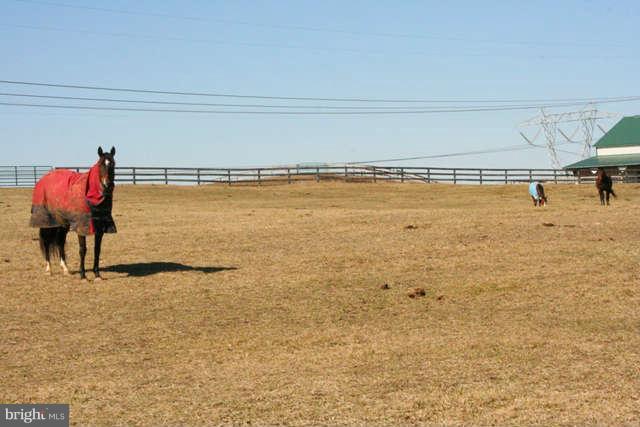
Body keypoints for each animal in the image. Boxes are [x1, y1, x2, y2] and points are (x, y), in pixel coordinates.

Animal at [30, 147, 117, 281]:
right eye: (100, 164)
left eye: (113, 163)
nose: (108, 184)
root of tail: (43, 180)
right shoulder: (82, 226)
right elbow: (83, 249)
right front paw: (83, 275)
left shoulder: (100, 228)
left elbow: (97, 249)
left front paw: (97, 275)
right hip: (47, 222)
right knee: (46, 241)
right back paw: (49, 269)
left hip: (62, 223)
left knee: (60, 242)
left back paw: (65, 269)